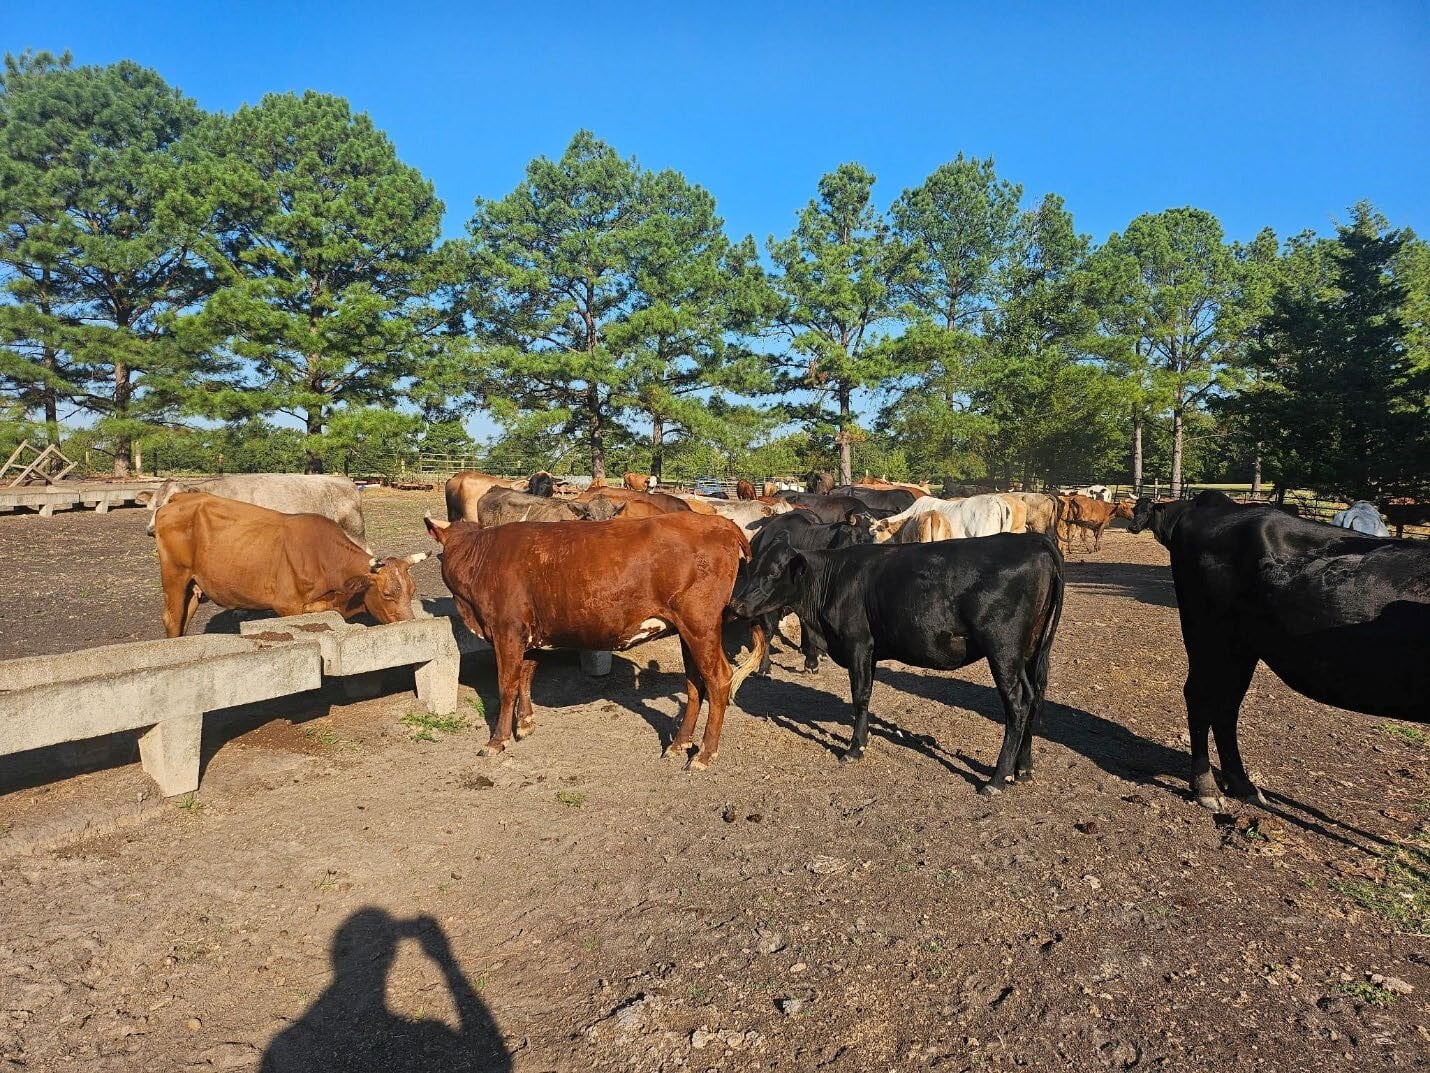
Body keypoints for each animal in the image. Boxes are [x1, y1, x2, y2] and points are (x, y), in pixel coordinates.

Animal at [154, 492, 424, 638]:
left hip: (193, 585)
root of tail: (183, 497)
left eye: (413, 591)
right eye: (387, 594)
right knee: (173, 618)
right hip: (174, 576)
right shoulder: (287, 605)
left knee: (184, 617)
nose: (411, 623)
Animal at [424, 512, 765, 769]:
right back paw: (679, 744)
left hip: (700, 626)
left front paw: (497, 740)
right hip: (687, 631)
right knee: (695, 683)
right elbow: (526, 677)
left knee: (718, 678)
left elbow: (507, 685)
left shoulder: (506, 631)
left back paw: (704, 754)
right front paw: (526, 723)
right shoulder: (531, 634)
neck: (479, 556)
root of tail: (719, 521)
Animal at [729, 532, 1064, 794]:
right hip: (1028, 652)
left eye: (773, 573)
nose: (737, 605)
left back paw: (997, 778)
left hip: (1003, 650)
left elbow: (860, 696)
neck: (833, 580)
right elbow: (866, 694)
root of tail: (1034, 540)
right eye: (751, 568)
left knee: (1016, 706)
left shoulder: (858, 644)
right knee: (1033, 697)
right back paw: (1023, 768)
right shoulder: (871, 650)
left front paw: (854, 748)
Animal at [1128, 491, 1430, 810]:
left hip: (1239, 647)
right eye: (1133, 510)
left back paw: (1242, 784)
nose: (1132, 527)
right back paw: (1206, 788)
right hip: (1207, 634)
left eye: (1143, 511)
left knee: (1225, 704)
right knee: (1200, 697)